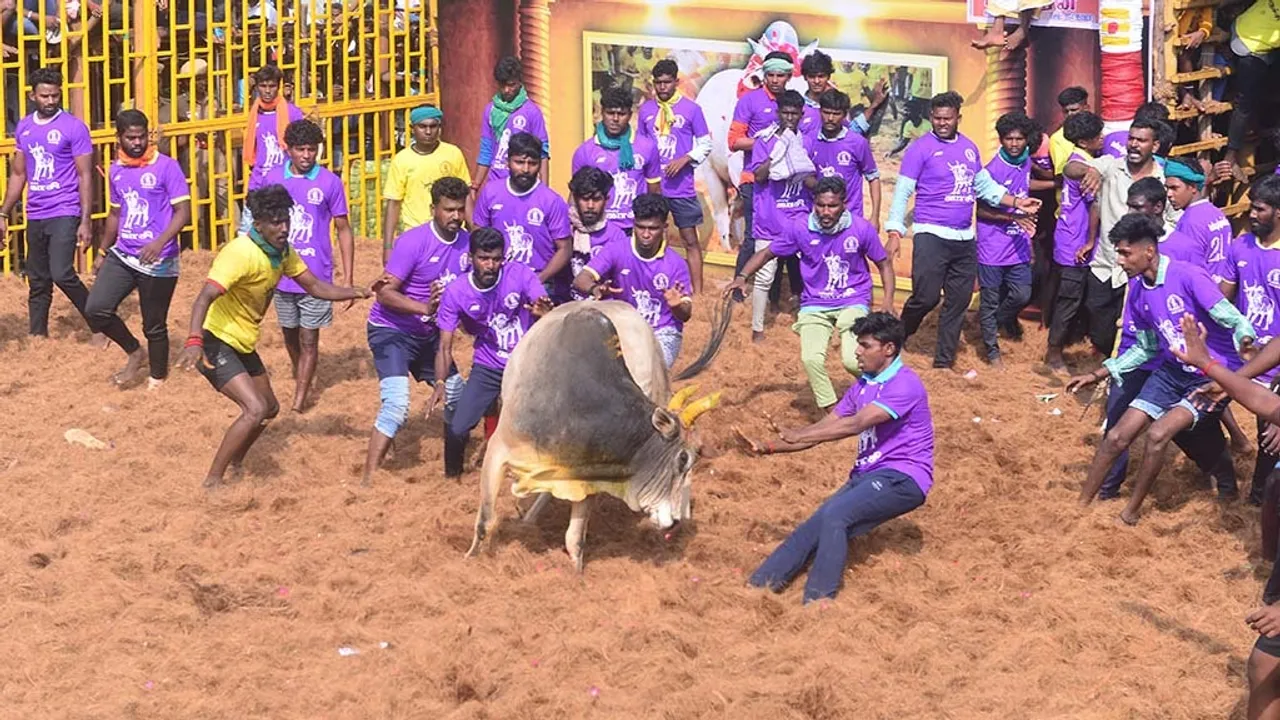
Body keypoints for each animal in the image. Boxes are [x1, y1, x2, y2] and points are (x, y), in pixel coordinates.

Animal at [468, 299, 732, 568]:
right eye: (683, 458)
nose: (678, 521)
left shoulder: (589, 477)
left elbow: (575, 539)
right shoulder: (498, 449)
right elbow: (485, 521)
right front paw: (471, 560)